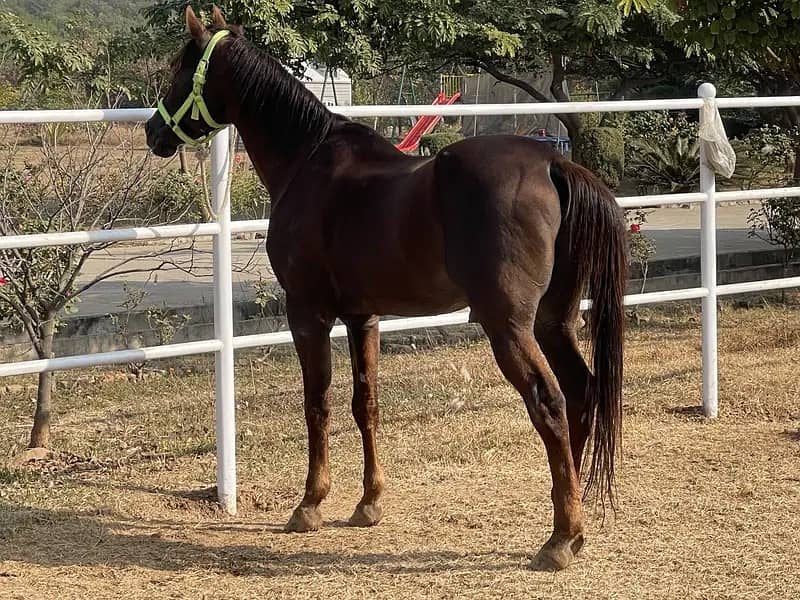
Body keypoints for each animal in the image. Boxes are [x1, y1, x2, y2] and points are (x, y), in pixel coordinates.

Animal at [145, 6, 628, 572]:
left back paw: (560, 537)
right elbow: (366, 403)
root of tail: (554, 163)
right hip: (555, 322)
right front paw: (369, 502)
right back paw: (574, 518)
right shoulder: (364, 316)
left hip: (509, 327)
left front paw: (310, 504)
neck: (307, 161)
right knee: (580, 392)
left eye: (180, 67)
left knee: (549, 401)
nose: (153, 130)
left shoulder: (307, 314)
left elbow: (318, 404)